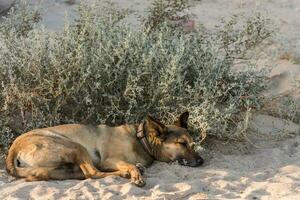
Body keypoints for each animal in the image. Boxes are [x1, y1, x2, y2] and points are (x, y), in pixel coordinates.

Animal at [5, 111, 204, 187]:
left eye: (192, 143)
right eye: (182, 143)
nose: (201, 161)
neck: (142, 141)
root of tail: (13, 148)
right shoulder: (110, 160)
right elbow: (130, 165)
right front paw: (136, 175)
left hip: (59, 166)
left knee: (82, 173)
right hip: (75, 147)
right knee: (93, 172)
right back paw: (125, 173)